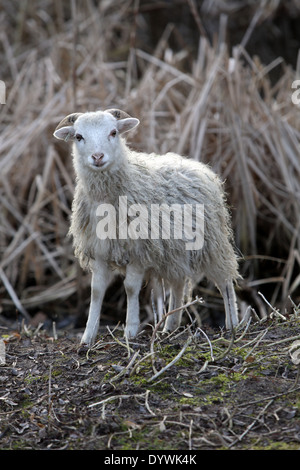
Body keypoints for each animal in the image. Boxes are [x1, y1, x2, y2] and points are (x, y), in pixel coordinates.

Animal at [54, 109, 240, 346]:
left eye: (113, 132)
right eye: (78, 137)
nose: (97, 157)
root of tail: (197, 165)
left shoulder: (139, 250)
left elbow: (131, 288)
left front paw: (130, 331)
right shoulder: (99, 252)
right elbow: (96, 291)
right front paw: (87, 337)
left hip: (211, 242)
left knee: (224, 280)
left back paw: (233, 324)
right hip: (175, 250)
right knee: (178, 283)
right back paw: (170, 327)